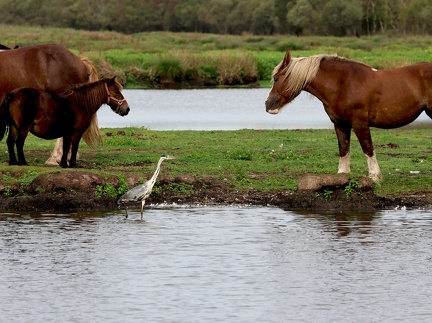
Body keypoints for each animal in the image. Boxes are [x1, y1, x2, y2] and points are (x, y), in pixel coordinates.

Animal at [0, 77, 129, 168]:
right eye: (116, 92)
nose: (127, 109)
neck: (81, 104)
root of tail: (12, 94)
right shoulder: (77, 132)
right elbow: (74, 147)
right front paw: (72, 164)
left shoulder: (67, 133)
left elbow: (66, 146)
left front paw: (64, 164)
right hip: (23, 127)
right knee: (19, 142)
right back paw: (23, 162)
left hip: (14, 126)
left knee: (10, 142)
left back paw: (13, 162)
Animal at [264, 50, 432, 182]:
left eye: (277, 78)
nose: (268, 105)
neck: (343, 84)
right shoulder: (340, 124)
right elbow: (344, 148)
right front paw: (342, 174)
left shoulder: (359, 123)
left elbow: (367, 148)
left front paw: (374, 177)